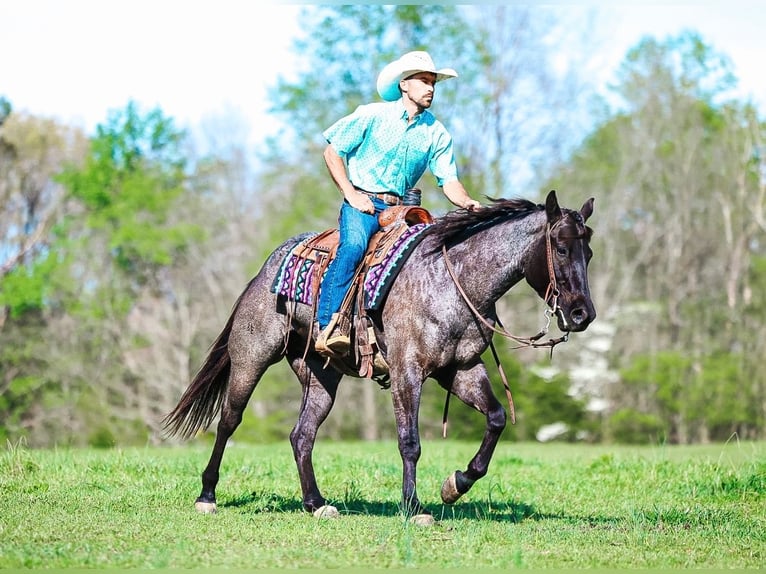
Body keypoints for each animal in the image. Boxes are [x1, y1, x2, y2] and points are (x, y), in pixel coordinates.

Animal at [163, 189, 596, 523]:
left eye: (588, 253)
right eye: (560, 248)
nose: (582, 314)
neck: (450, 279)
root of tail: (265, 270)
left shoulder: (461, 369)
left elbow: (496, 418)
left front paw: (455, 485)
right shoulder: (408, 372)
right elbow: (410, 441)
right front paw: (414, 507)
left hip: (321, 377)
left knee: (302, 435)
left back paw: (316, 504)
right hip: (251, 358)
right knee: (229, 420)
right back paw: (207, 497)